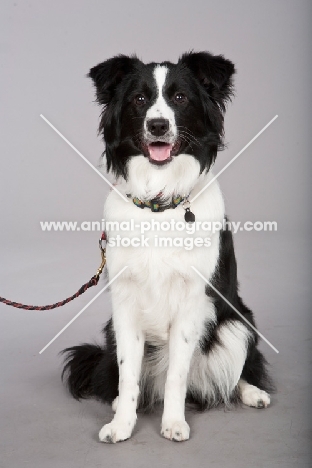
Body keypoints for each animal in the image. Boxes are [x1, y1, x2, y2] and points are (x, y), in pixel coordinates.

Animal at [62, 51, 272, 442]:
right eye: (139, 99)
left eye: (180, 98)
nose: (158, 125)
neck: (159, 201)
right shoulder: (125, 304)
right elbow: (128, 373)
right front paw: (122, 425)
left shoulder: (193, 302)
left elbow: (178, 373)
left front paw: (174, 423)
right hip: (113, 329)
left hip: (237, 323)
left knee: (231, 372)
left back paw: (252, 392)